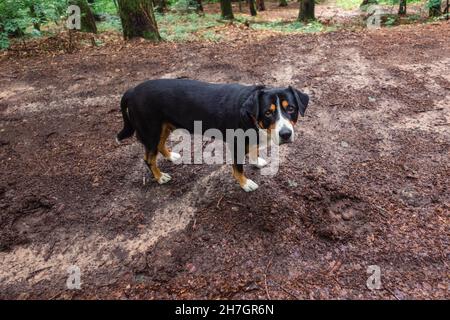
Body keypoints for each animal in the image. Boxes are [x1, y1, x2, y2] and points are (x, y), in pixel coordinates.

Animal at [115, 79, 310, 191]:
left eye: (291, 109)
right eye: (268, 113)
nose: (286, 134)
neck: (250, 115)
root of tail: (132, 91)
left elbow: (253, 151)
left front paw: (256, 161)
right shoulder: (236, 144)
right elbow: (238, 169)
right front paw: (245, 184)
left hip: (164, 126)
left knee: (160, 146)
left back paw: (171, 156)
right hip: (151, 130)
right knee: (149, 158)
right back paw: (160, 177)